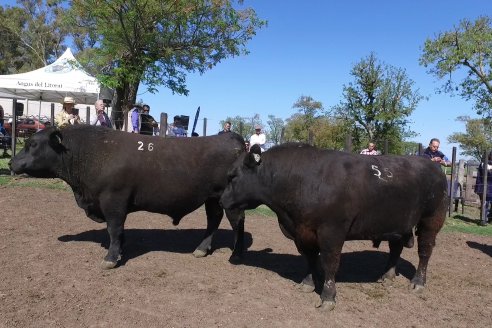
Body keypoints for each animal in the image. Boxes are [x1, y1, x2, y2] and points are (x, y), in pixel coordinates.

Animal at [7, 125, 246, 270]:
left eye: (33, 144)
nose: (10, 162)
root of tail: (231, 138)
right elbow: (118, 233)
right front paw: (119, 251)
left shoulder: (113, 201)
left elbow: (114, 229)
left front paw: (110, 259)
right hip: (212, 198)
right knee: (213, 220)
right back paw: (201, 249)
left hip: (232, 201)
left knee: (237, 223)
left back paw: (236, 255)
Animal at [221, 144, 448, 310]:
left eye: (233, 176)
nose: (222, 200)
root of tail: (434, 166)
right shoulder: (303, 233)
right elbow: (310, 259)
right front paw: (307, 283)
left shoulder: (332, 232)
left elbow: (330, 263)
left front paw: (328, 298)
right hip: (397, 224)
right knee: (396, 248)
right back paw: (387, 275)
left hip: (431, 220)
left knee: (425, 252)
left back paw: (418, 282)